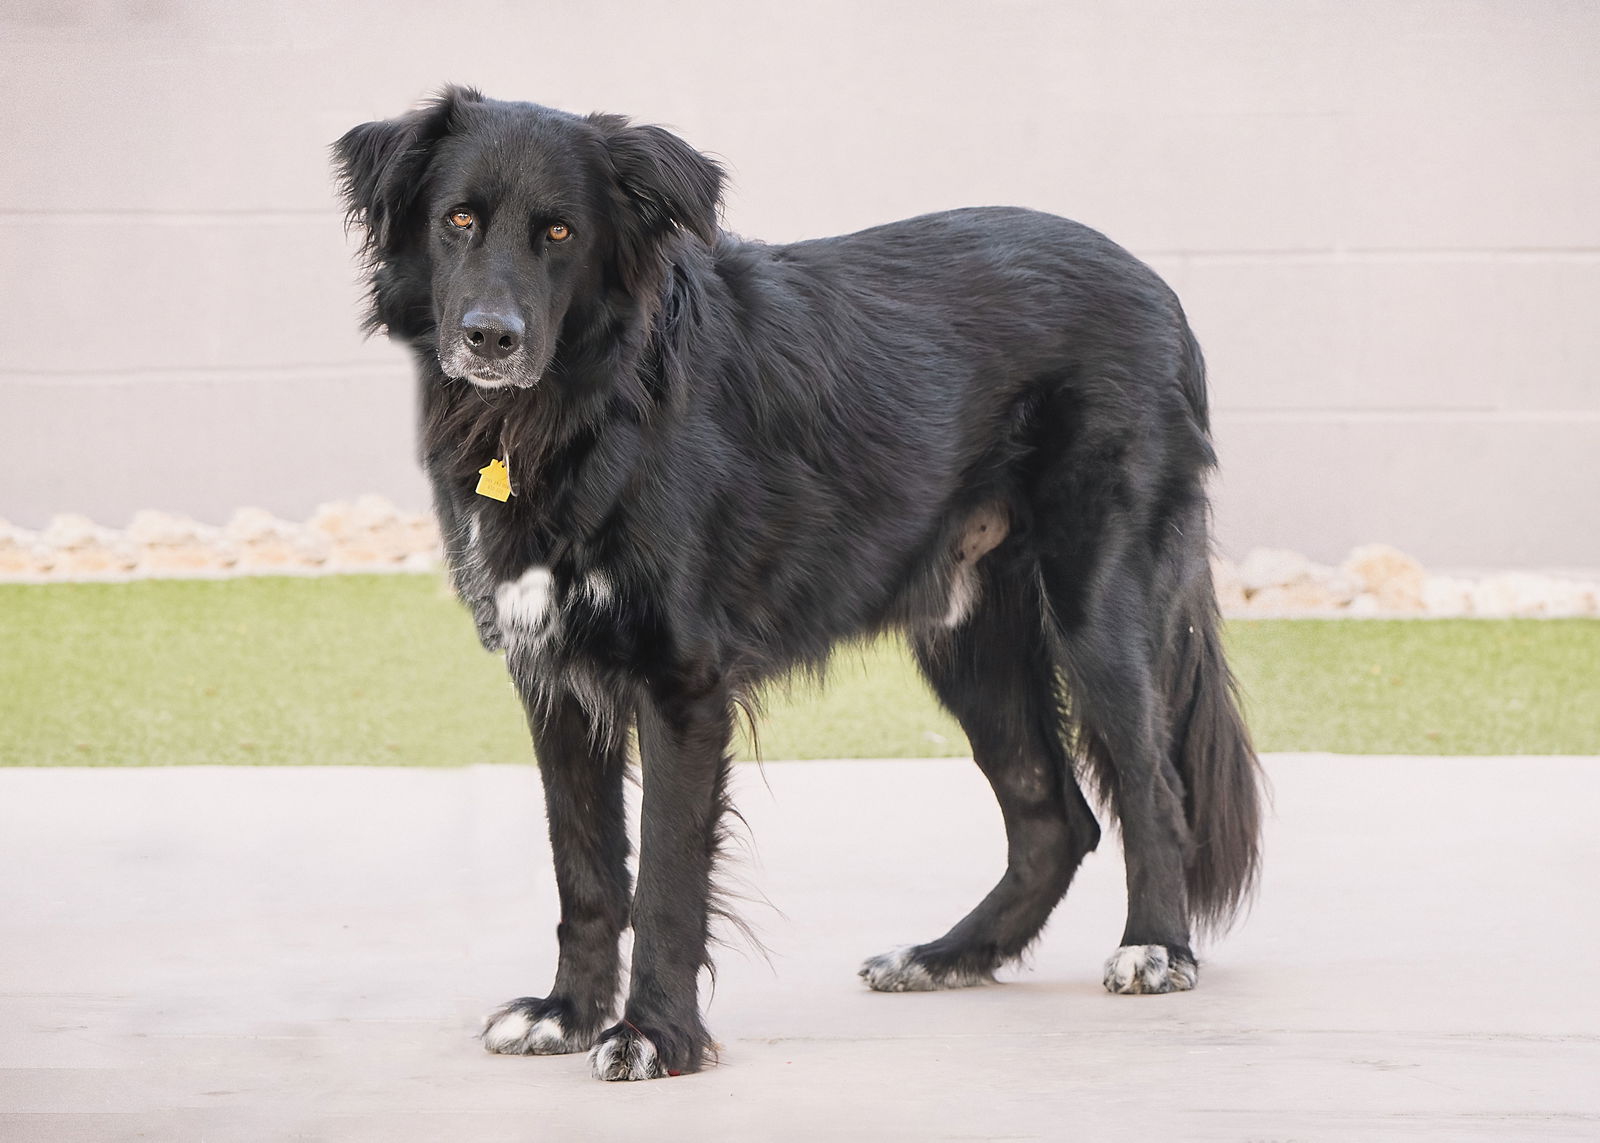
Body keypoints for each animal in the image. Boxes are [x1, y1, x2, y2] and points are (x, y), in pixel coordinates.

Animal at [334, 86, 1260, 1075]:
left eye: (560, 232)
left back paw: (1156, 946)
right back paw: (945, 956)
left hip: (1098, 602)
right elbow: (583, 867)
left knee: (1152, 786)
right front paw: (567, 1013)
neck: (573, 411)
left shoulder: (681, 682)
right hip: (966, 635)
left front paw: (654, 1034)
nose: (490, 338)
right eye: (457, 220)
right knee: (1055, 816)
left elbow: (665, 876)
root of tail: (1158, 287)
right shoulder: (554, 680)